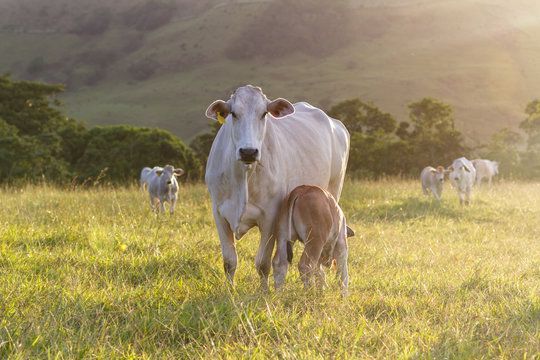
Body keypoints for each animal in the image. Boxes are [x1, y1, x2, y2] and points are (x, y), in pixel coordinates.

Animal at [204, 84, 350, 290]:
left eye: (264, 113)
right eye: (233, 113)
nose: (248, 151)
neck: (243, 177)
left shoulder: (270, 217)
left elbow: (262, 263)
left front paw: (264, 291)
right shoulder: (219, 213)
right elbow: (230, 261)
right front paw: (230, 291)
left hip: (333, 194)